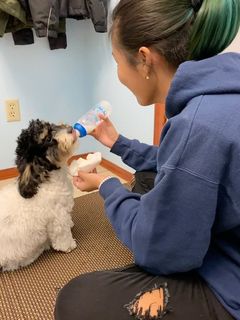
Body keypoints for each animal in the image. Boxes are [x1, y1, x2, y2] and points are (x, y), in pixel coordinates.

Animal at [0, 119, 77, 272]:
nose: (71, 129)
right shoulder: (57, 217)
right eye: (48, 139)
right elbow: (63, 234)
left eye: (51, 125)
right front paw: (69, 245)